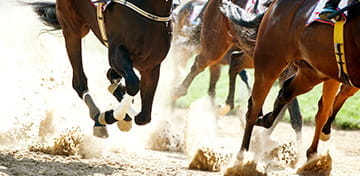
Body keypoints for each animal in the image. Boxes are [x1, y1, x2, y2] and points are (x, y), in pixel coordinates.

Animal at [27, 0, 172, 138]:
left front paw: (122, 111)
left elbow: (143, 117)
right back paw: (98, 117)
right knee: (79, 82)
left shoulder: (151, 67)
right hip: (72, 29)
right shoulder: (116, 50)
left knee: (110, 76)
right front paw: (108, 116)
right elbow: (133, 84)